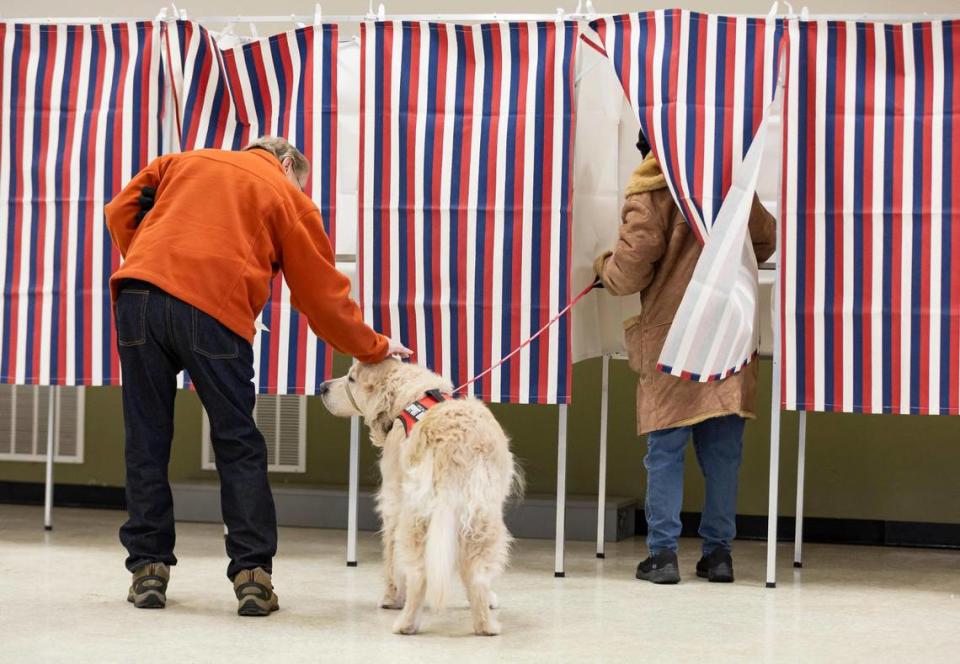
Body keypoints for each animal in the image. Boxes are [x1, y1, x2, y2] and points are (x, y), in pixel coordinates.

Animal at [320, 360, 516, 636]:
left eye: (351, 379)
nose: (322, 386)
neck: (412, 397)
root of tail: (453, 445)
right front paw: (489, 599)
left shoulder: (392, 500)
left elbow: (391, 557)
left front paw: (390, 598)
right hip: (481, 518)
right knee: (477, 573)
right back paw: (485, 625)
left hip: (416, 517)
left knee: (419, 573)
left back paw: (405, 623)